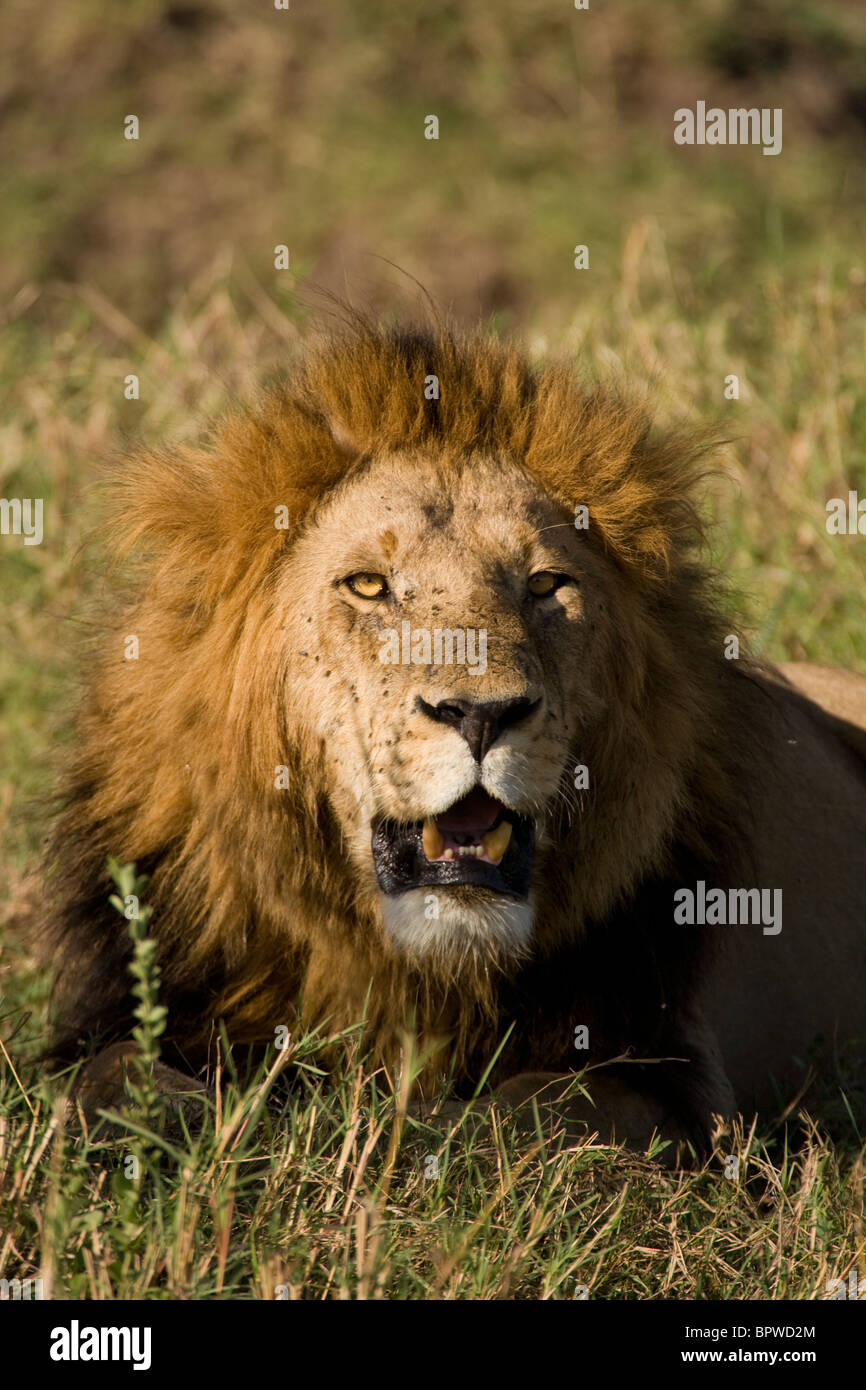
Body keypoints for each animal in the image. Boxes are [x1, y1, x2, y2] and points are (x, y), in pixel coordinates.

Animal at [38, 323, 866, 1159]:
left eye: (545, 585)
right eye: (369, 585)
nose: (481, 715)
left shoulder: (675, 1081)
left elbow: (536, 1108)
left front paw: (413, 1133)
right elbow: (108, 1074)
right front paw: (170, 1124)